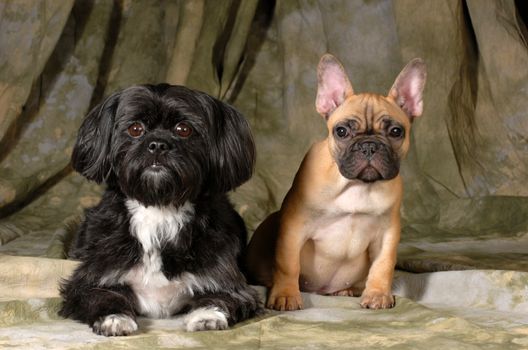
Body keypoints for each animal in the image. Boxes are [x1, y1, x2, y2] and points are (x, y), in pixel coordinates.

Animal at [58, 82, 260, 336]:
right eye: (135, 129)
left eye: (184, 129)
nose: (158, 145)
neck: (159, 208)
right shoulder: (89, 281)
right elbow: (103, 295)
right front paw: (114, 318)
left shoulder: (230, 282)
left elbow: (222, 296)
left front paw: (207, 315)